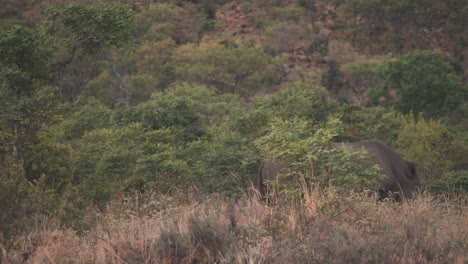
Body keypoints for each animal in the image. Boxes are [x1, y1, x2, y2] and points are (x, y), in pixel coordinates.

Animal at [258, 140, 422, 202]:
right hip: (281, 169)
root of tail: (265, 160)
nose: (417, 203)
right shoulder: (374, 189)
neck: (400, 172)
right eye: (417, 188)